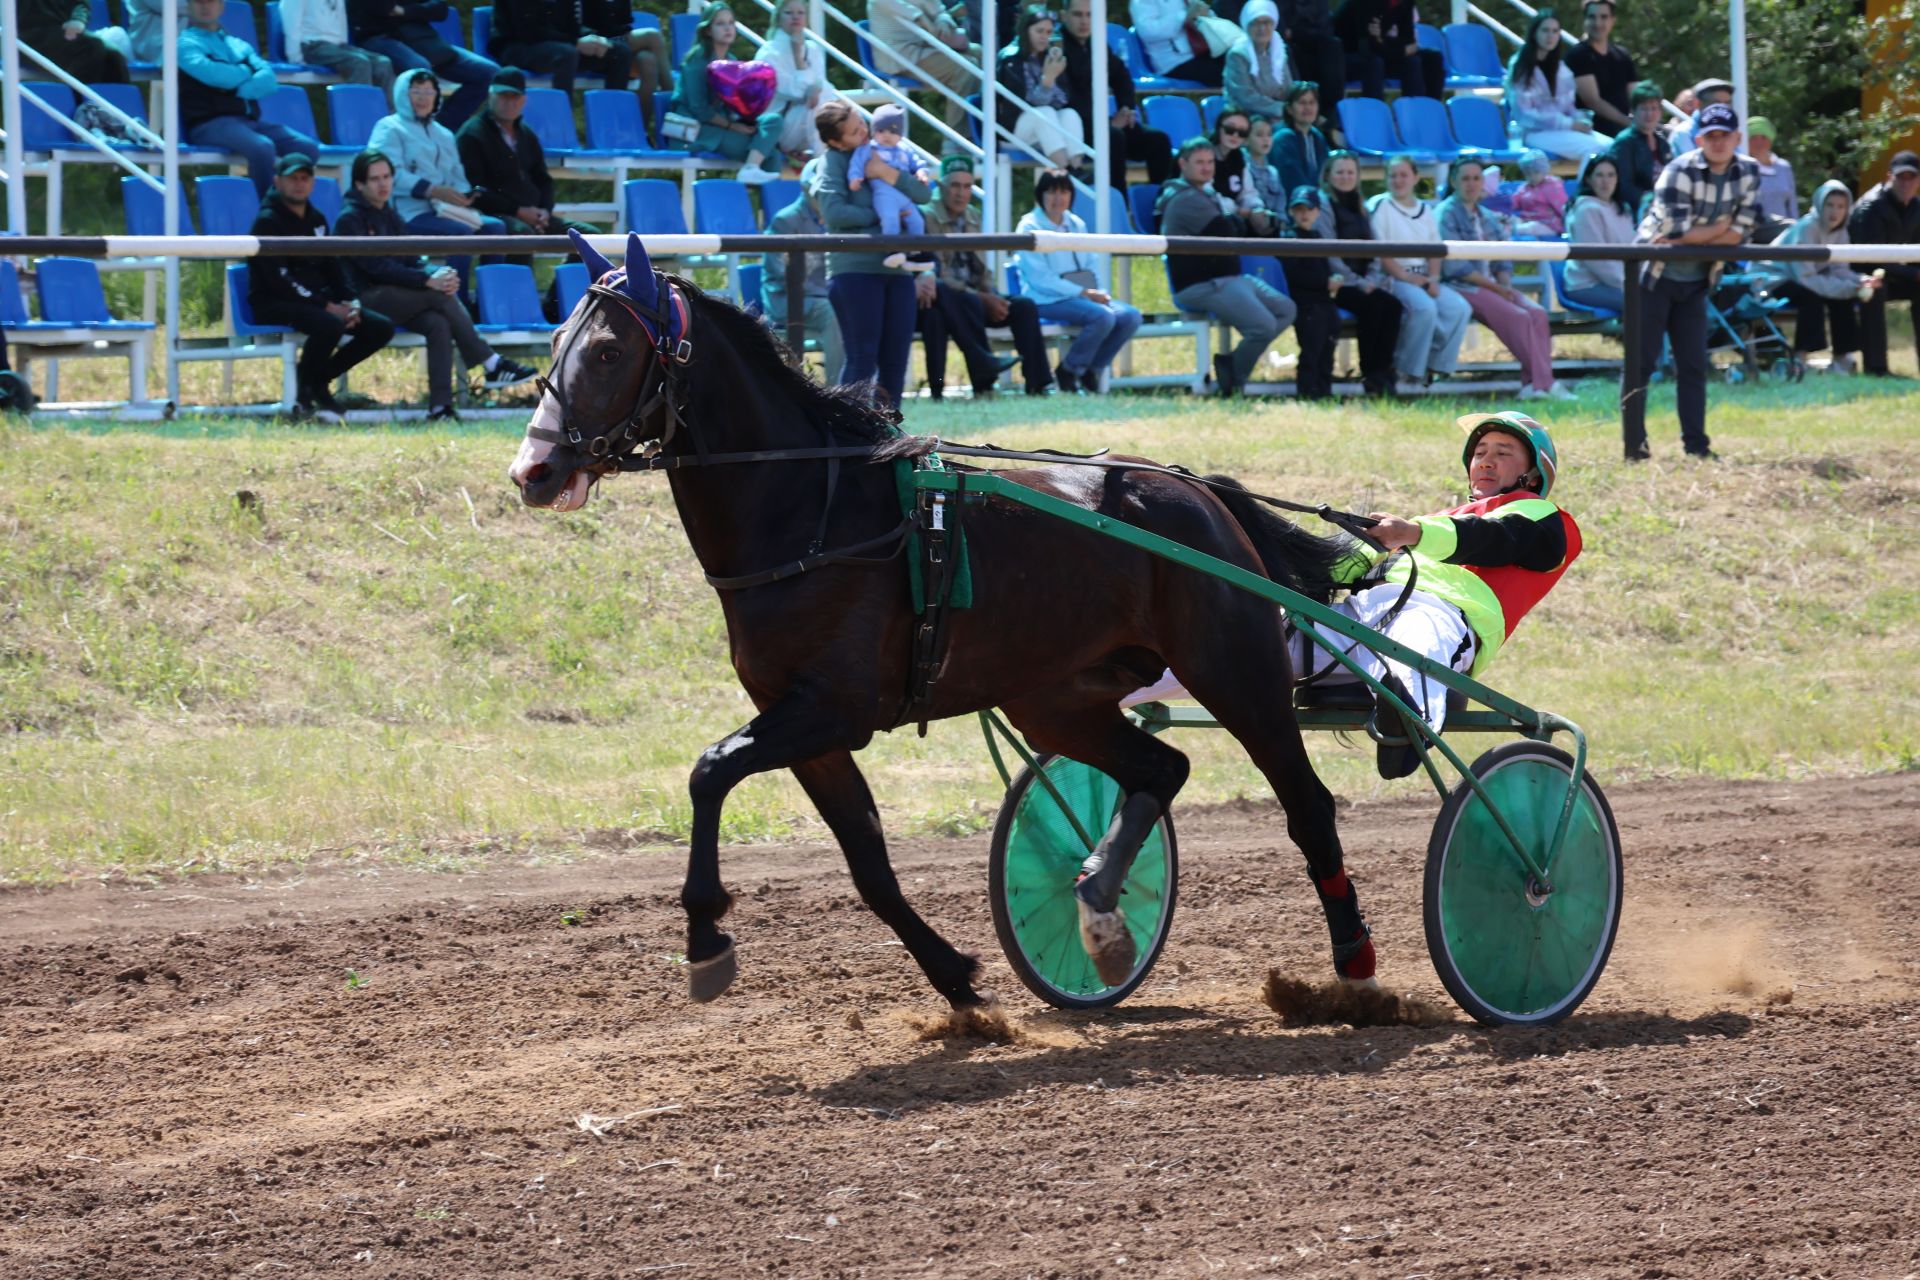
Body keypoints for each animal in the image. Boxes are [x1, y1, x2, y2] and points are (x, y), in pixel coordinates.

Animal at [510, 233, 1382, 1013]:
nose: (533, 471)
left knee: (1306, 804)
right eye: (554, 341)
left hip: (1235, 670)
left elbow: (709, 770)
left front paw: (704, 940)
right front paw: (956, 977)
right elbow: (867, 863)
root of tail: (1193, 488)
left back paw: (1353, 962)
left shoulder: (832, 708)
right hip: (1055, 697)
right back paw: (1101, 906)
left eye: (610, 351)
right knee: (1161, 769)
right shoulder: (807, 728)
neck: (813, 514)